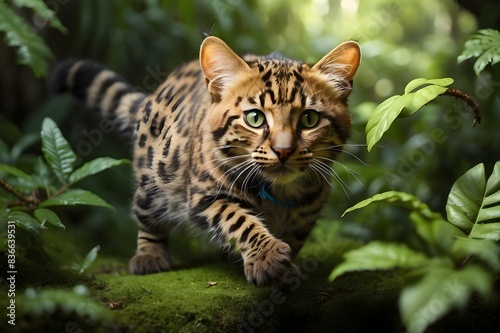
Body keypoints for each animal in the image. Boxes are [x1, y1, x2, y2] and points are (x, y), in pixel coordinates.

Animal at [50, 35, 360, 286]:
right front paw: (268, 258)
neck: (280, 191)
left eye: (309, 119)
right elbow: (239, 220)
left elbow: (294, 237)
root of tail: (154, 94)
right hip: (154, 177)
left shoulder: (310, 210)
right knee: (146, 215)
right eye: (255, 118)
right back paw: (149, 256)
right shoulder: (205, 194)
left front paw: (285, 269)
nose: (283, 150)